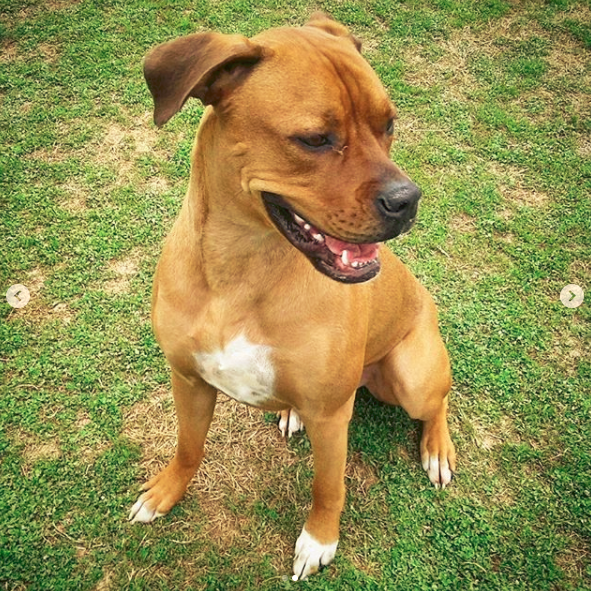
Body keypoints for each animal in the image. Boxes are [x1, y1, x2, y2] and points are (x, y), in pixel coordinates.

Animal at [131, 13, 458, 584]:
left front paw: (319, 541)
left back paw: (437, 448)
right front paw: (166, 491)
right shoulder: (188, 379)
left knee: (439, 399)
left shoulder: (332, 417)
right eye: (314, 139)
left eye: (388, 124)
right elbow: (189, 447)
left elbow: (328, 487)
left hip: (411, 376)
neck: (241, 270)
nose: (408, 200)